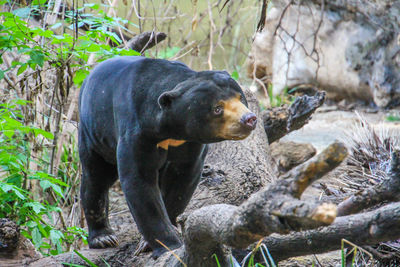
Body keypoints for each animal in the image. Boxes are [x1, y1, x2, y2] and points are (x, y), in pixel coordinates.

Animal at [78, 56, 256, 258]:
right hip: (93, 134)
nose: (249, 119)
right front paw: (166, 244)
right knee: (95, 179)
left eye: (240, 98)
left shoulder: (189, 142)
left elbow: (182, 179)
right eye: (217, 108)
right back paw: (103, 238)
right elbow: (139, 182)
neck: (170, 131)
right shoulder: (137, 132)